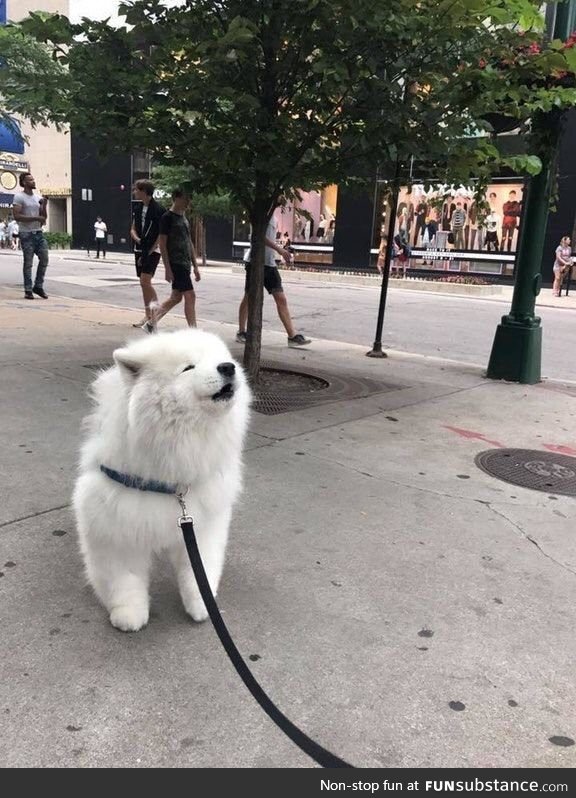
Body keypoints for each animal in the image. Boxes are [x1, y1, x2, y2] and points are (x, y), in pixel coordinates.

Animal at [72, 328, 250, 636]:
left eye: (220, 358)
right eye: (188, 367)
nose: (228, 367)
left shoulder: (203, 524)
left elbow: (199, 572)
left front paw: (202, 605)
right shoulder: (117, 525)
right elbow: (124, 579)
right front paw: (128, 614)